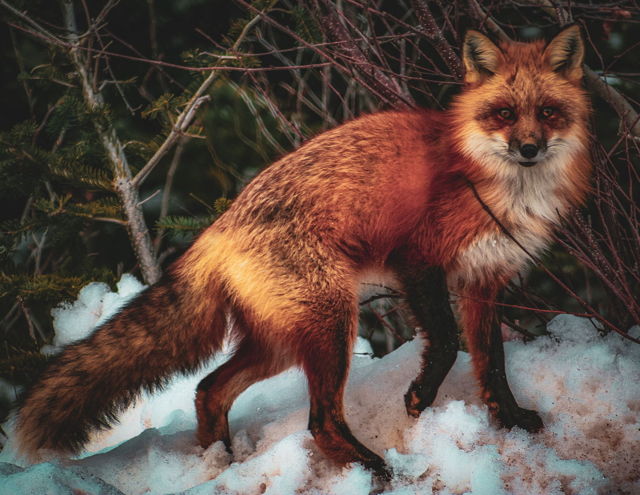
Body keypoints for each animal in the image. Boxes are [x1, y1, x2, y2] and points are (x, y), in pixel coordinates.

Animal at [14, 26, 591, 476]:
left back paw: (220, 463)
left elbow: (493, 366)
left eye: (547, 112)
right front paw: (420, 398)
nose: (529, 148)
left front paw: (511, 422)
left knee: (209, 389)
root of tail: (217, 229)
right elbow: (448, 344)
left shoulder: (484, 279)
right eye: (503, 113)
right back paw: (371, 469)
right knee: (319, 420)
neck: (500, 188)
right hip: (332, 325)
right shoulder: (418, 260)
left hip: (281, 342)